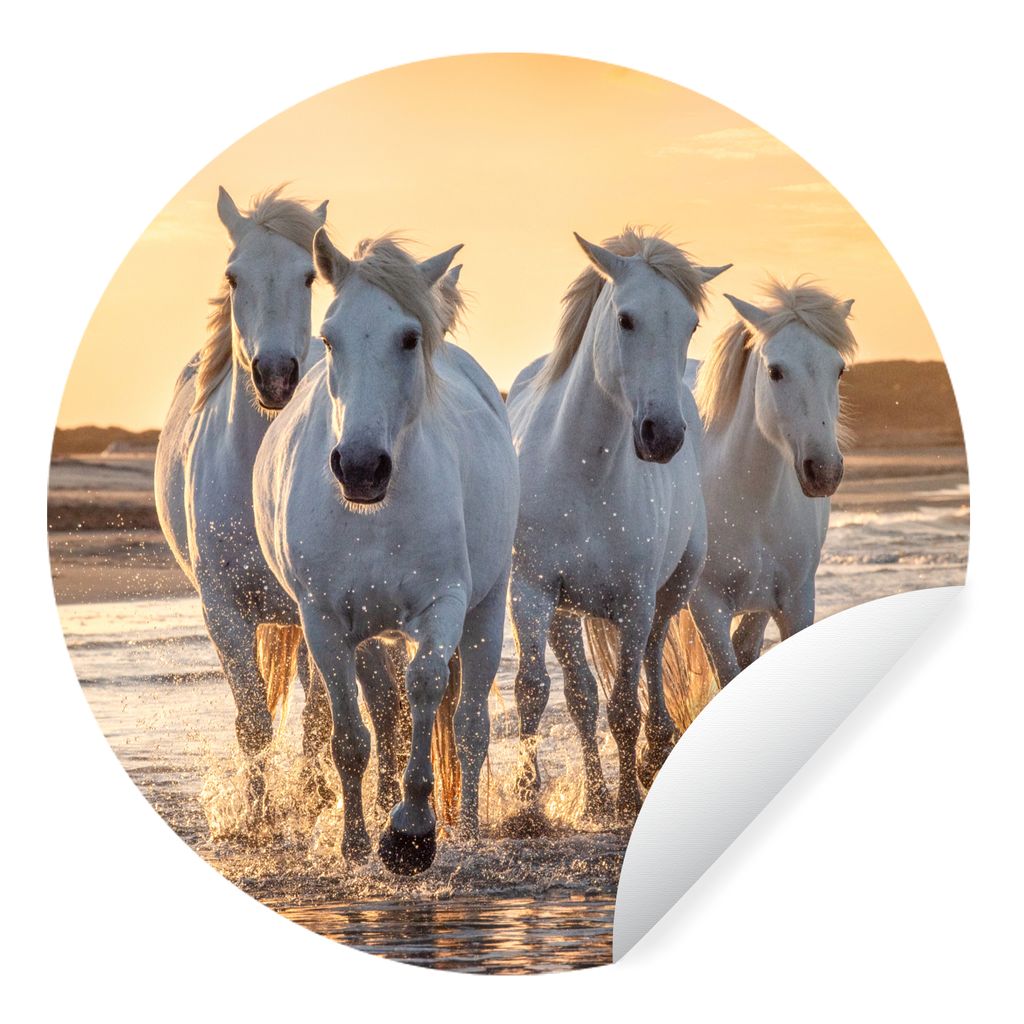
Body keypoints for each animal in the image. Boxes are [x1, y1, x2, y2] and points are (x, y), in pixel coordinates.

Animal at [253, 231, 518, 875]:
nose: (360, 467)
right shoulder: (323, 621)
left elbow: (425, 687)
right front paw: (354, 844)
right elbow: (351, 736)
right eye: (329, 337)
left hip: (486, 609)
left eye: (409, 337)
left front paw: (411, 832)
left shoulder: (444, 605)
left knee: (470, 727)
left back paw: (468, 829)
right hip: (372, 634)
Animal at [505, 228, 730, 821]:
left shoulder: (633, 602)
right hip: (566, 612)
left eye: (689, 324)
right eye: (626, 319)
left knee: (650, 661)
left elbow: (626, 703)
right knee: (581, 694)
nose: (662, 435)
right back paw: (596, 795)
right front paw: (526, 806)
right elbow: (535, 690)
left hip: (671, 591)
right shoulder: (532, 591)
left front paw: (630, 797)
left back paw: (651, 759)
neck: (584, 469)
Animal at [673, 280, 857, 692]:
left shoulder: (797, 599)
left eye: (839, 370)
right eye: (775, 371)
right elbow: (726, 673)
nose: (824, 471)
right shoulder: (707, 607)